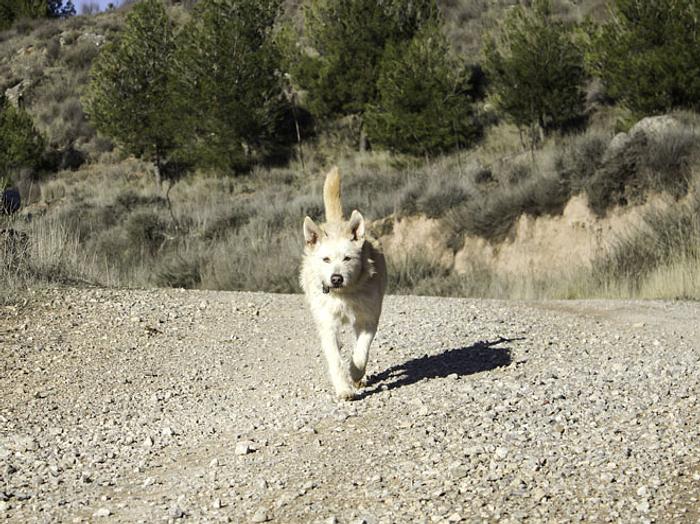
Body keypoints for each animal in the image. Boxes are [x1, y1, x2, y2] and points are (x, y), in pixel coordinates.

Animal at [300, 166, 387, 400]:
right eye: (326, 259)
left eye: (347, 258)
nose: (336, 278)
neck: (345, 294)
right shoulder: (328, 323)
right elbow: (334, 358)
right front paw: (343, 388)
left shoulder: (368, 318)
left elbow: (361, 350)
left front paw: (355, 373)